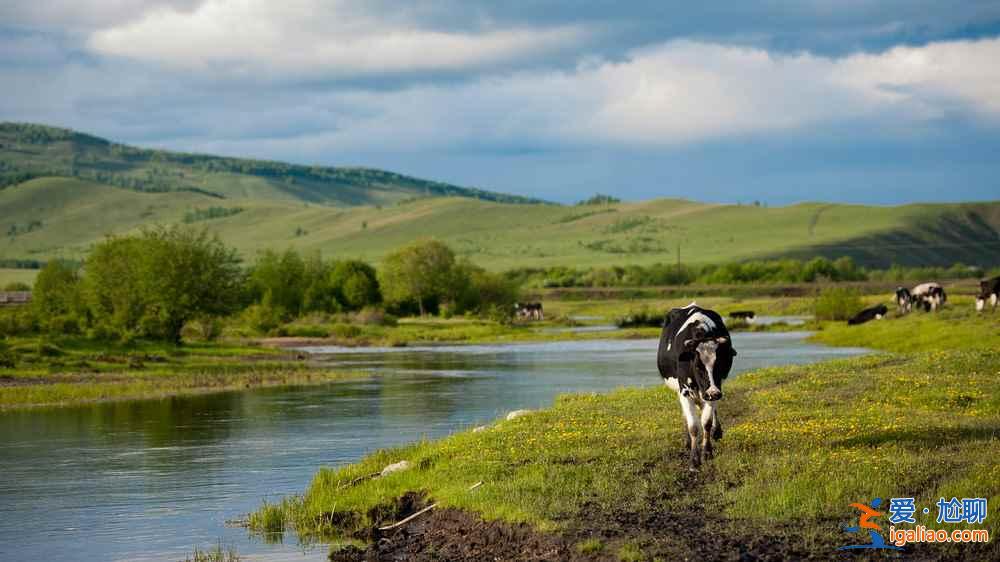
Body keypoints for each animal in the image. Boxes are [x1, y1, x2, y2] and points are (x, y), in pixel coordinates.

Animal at [656, 302, 736, 468]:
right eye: (698, 366)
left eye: (720, 364)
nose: (713, 392)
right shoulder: (685, 391)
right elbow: (693, 426)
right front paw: (694, 460)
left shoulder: (714, 389)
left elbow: (706, 422)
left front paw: (707, 451)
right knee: (687, 415)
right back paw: (688, 442)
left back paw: (717, 432)